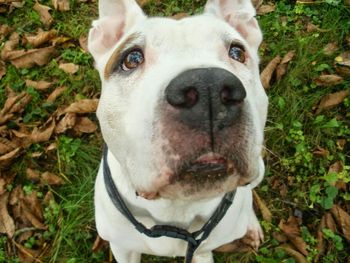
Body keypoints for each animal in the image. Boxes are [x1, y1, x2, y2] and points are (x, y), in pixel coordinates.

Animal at [87, 0, 268, 262]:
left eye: (237, 52)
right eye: (131, 58)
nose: (208, 88)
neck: (177, 206)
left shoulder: (201, 252)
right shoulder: (123, 247)